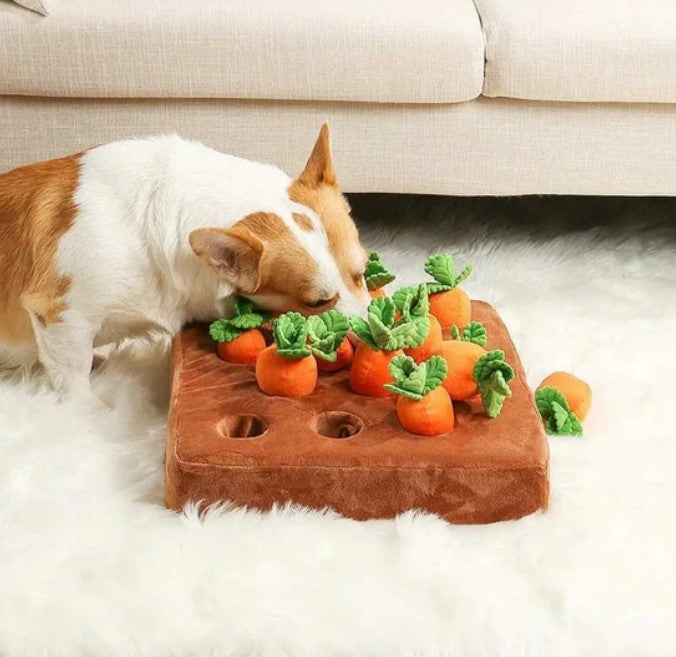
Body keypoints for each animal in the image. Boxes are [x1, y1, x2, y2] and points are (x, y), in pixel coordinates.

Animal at [0, 120, 370, 402]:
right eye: (317, 302)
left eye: (363, 273)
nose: (373, 333)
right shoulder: (62, 316)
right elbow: (74, 380)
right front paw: (87, 414)